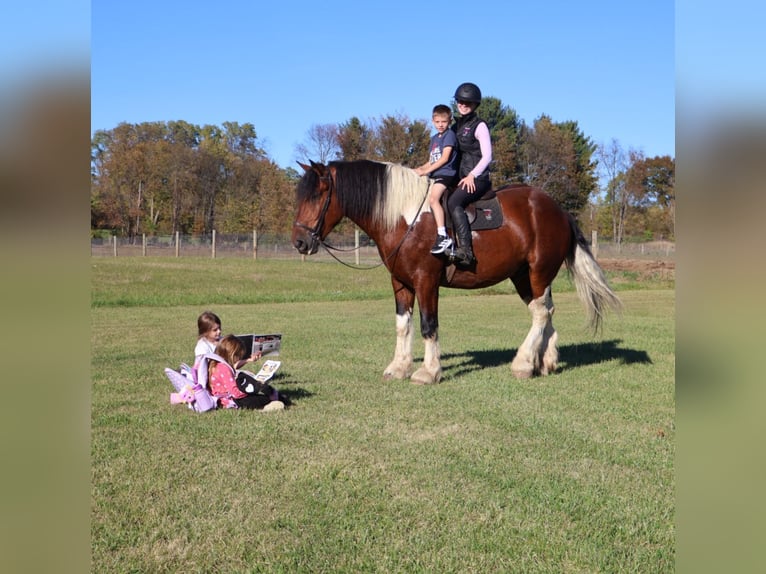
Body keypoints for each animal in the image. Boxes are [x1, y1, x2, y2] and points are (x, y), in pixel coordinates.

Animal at [292, 159, 621, 385]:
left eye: (318, 196)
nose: (299, 242)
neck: (406, 218)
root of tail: (559, 210)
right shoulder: (400, 283)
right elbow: (402, 325)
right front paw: (399, 367)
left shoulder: (426, 281)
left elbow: (428, 325)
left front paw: (428, 371)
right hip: (524, 277)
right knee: (545, 311)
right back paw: (546, 361)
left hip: (538, 272)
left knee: (541, 313)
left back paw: (524, 364)